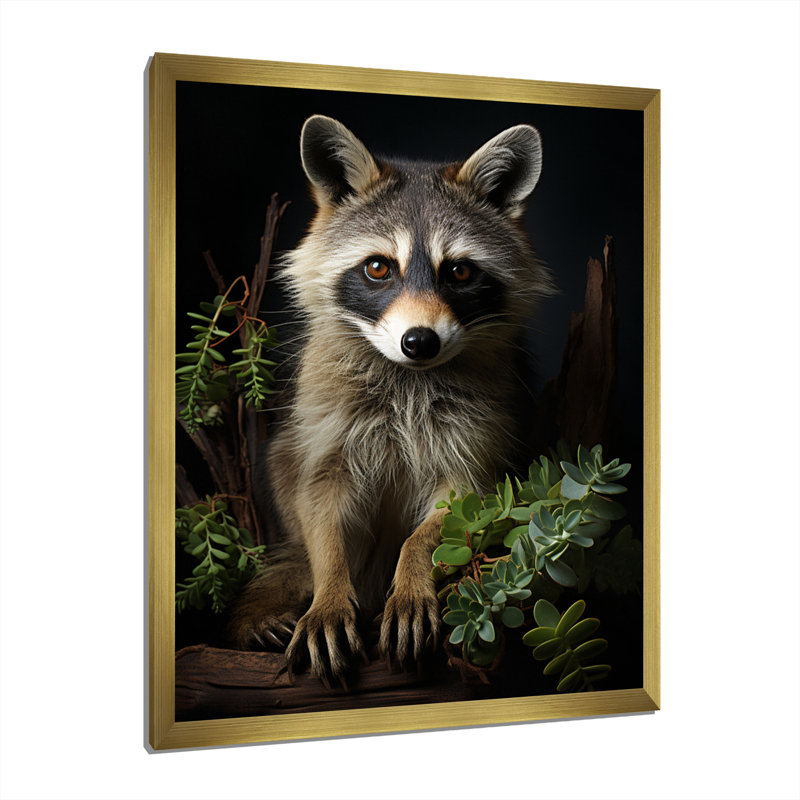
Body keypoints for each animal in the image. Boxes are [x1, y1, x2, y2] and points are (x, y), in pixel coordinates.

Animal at [228, 115, 553, 685]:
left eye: (459, 272)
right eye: (379, 268)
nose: (419, 341)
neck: (409, 377)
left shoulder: (481, 431)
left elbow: (454, 510)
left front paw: (413, 573)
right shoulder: (323, 425)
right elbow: (319, 505)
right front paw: (330, 592)